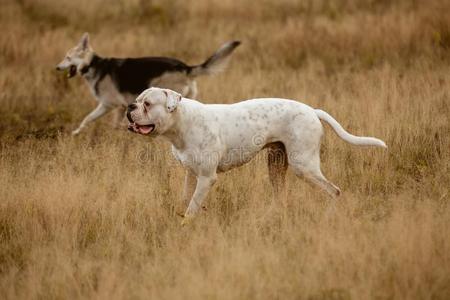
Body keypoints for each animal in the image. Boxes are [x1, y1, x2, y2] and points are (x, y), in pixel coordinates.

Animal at [56, 32, 241, 135]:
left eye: (67, 57)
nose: (57, 67)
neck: (93, 65)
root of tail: (185, 67)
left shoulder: (109, 105)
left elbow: (87, 119)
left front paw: (76, 133)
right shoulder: (120, 107)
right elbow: (110, 124)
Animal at [126, 86, 386, 223]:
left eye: (148, 104)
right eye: (137, 100)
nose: (130, 107)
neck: (182, 122)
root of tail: (312, 110)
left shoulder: (207, 178)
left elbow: (192, 207)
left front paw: (185, 224)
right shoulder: (191, 174)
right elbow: (186, 199)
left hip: (304, 166)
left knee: (334, 191)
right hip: (276, 166)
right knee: (282, 198)